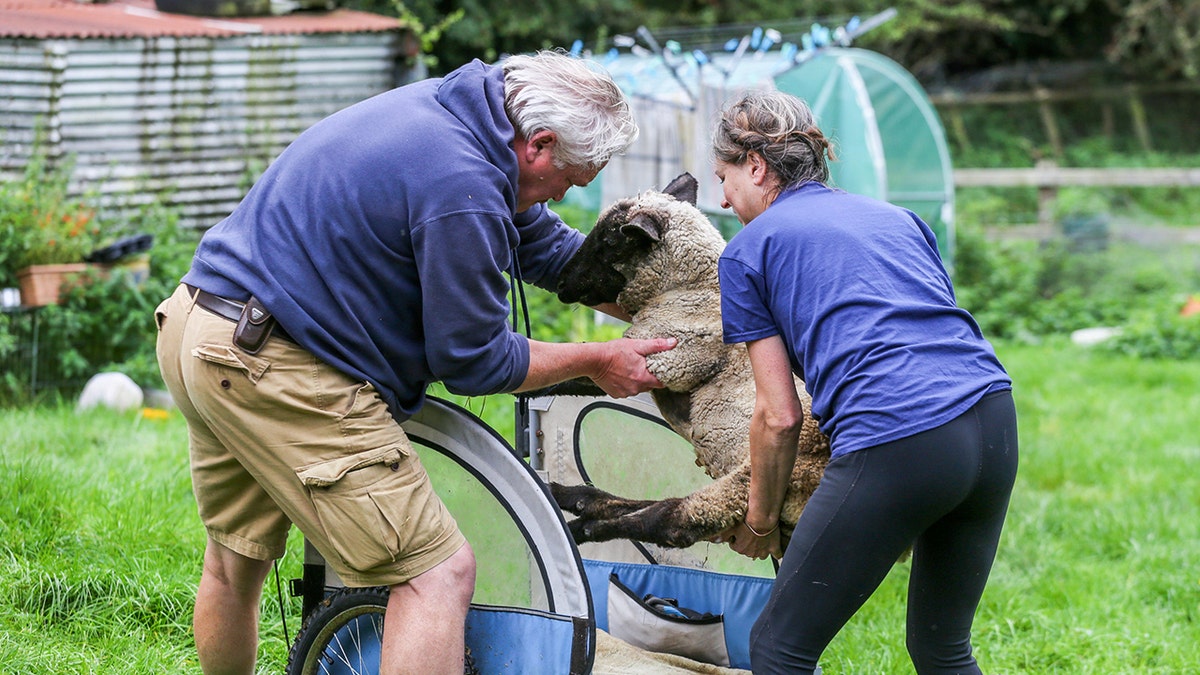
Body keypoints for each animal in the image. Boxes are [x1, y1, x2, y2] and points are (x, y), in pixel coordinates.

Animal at [549, 170, 830, 550]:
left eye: (609, 241)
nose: (563, 283)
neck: (695, 289)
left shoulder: (662, 360)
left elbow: (570, 375)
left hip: (752, 483)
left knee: (669, 521)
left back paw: (584, 526)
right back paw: (574, 498)